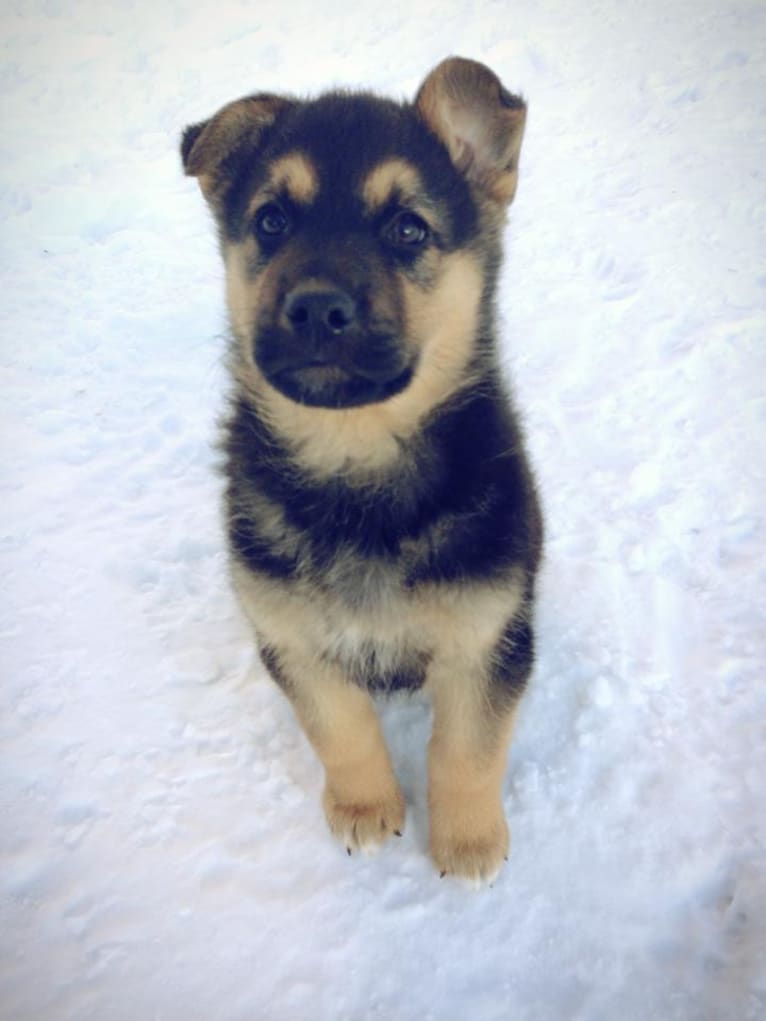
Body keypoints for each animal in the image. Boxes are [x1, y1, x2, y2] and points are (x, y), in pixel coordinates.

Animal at [180, 57, 543, 886]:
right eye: (272, 220)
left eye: (409, 227)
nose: (317, 308)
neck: (356, 460)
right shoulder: (289, 635)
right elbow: (340, 726)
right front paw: (366, 809)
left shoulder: (488, 636)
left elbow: (468, 747)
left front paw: (468, 844)